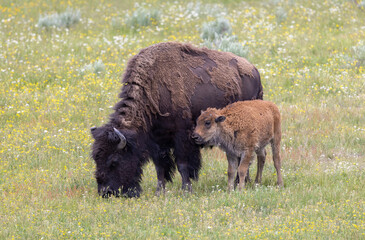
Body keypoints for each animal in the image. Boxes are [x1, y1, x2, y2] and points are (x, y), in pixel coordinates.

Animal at [90, 42, 262, 198]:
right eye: (95, 159)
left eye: (114, 161)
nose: (105, 192)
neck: (153, 91)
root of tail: (254, 71)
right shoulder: (156, 141)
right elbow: (160, 167)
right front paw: (160, 192)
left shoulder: (182, 136)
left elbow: (182, 164)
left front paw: (186, 191)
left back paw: (243, 182)